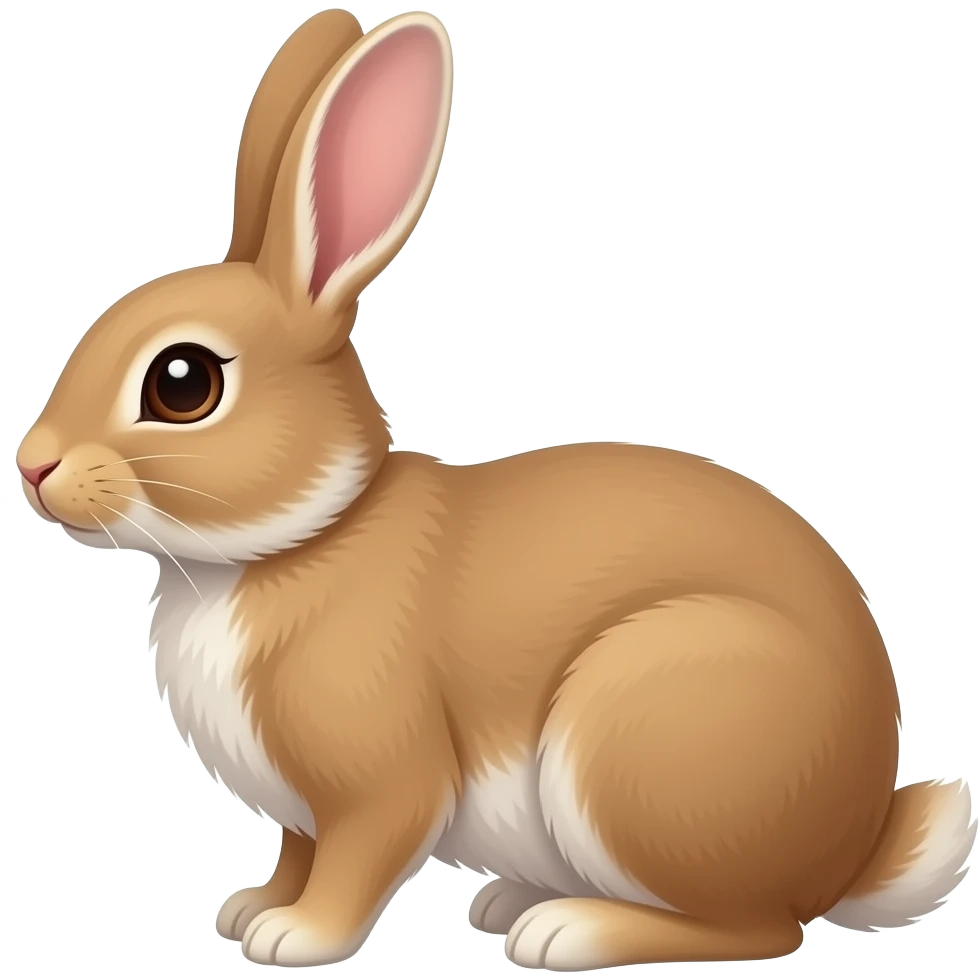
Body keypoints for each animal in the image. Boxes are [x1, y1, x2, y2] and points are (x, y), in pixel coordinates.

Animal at [15, 7, 976, 972]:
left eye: (183, 383)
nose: (33, 465)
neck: (302, 537)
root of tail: (855, 843)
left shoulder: (380, 780)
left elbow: (358, 858)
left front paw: (298, 937)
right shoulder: (305, 815)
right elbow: (299, 852)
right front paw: (250, 911)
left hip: (639, 735)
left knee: (758, 927)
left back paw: (565, 930)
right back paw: (513, 900)